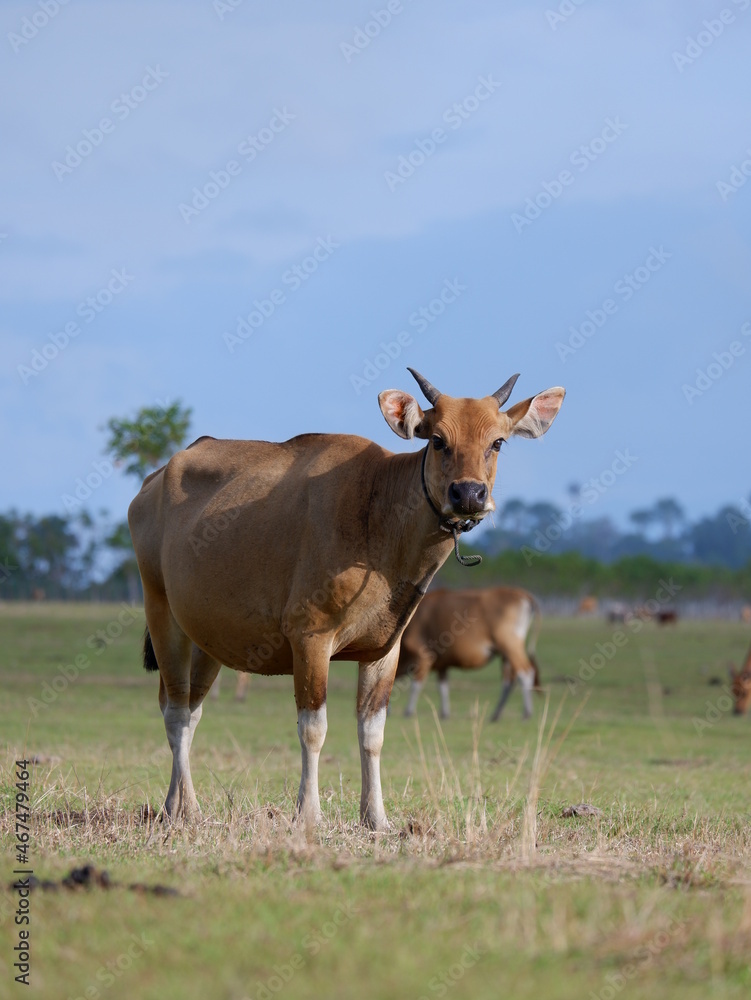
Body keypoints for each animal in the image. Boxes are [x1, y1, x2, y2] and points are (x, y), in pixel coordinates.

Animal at [394, 584, 548, 724]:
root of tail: (519, 593)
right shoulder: (442, 665)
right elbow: (442, 687)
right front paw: (444, 713)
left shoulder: (423, 658)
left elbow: (416, 685)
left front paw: (408, 711)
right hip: (505, 655)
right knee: (508, 680)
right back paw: (496, 715)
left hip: (510, 646)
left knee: (525, 673)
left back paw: (526, 713)